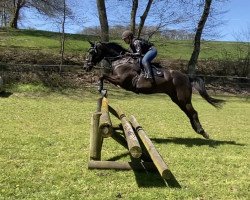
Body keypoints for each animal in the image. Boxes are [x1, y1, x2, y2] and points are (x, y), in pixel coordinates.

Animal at [84, 41, 225, 139]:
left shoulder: (122, 81)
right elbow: (102, 76)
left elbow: (102, 76)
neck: (121, 60)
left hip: (183, 98)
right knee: (189, 113)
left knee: (193, 112)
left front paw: (101, 89)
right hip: (177, 99)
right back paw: (198, 130)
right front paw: (101, 89)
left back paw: (203, 132)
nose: (86, 67)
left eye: (92, 52)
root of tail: (186, 77)